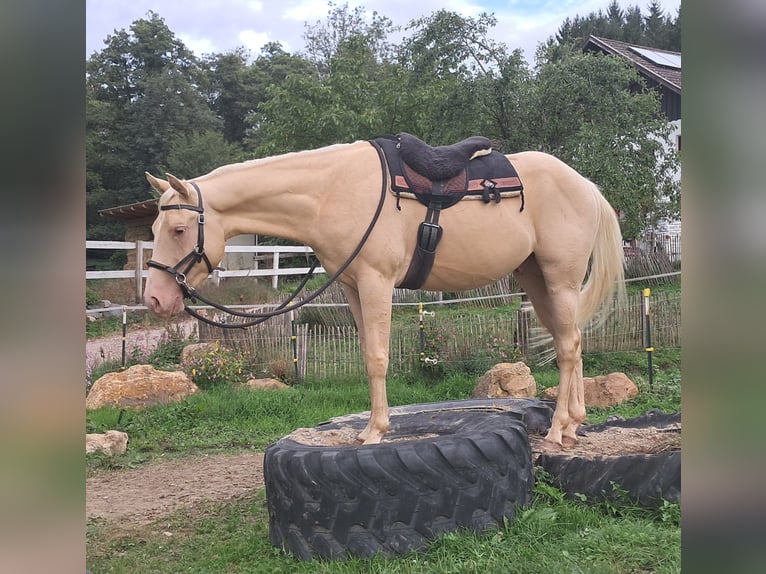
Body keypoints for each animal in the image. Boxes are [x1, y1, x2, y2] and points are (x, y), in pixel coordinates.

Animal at [143, 137, 625, 447]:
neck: (331, 191)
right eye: (154, 228)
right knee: (569, 342)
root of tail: (586, 186)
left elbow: (377, 357)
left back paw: (559, 428)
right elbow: (365, 354)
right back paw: (574, 424)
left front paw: (375, 431)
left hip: (560, 279)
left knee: (568, 347)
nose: (156, 299)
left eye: (179, 229)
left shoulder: (377, 283)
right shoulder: (354, 288)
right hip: (537, 280)